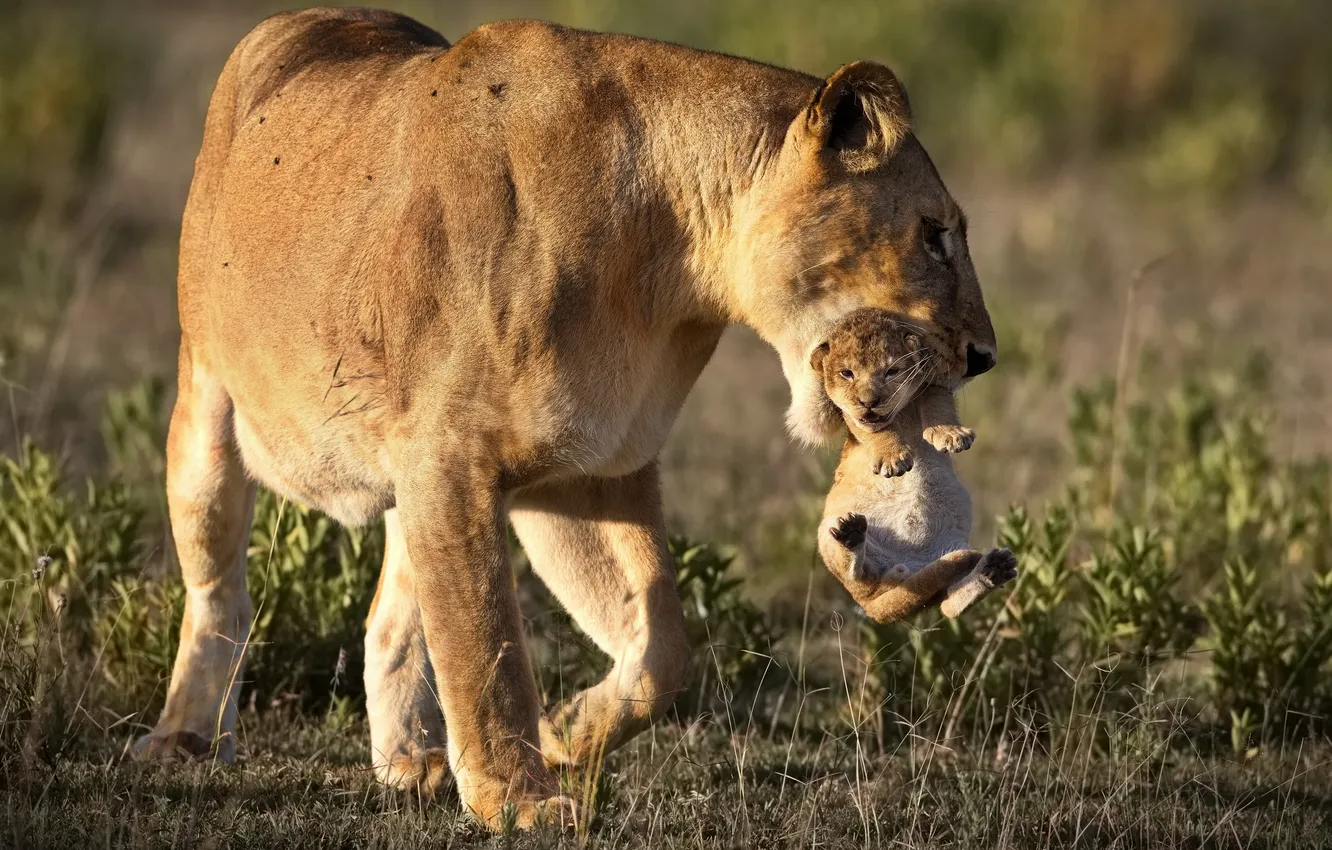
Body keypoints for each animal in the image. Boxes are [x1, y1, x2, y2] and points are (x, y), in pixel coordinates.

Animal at [811, 309, 1016, 622]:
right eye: (847, 373)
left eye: (891, 371)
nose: (869, 402)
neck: (902, 412)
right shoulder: (855, 419)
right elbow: (877, 431)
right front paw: (893, 458)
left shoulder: (934, 383)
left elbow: (937, 404)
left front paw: (950, 434)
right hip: (828, 537)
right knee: (858, 574)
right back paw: (851, 536)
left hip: (946, 562)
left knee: (948, 603)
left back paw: (993, 570)